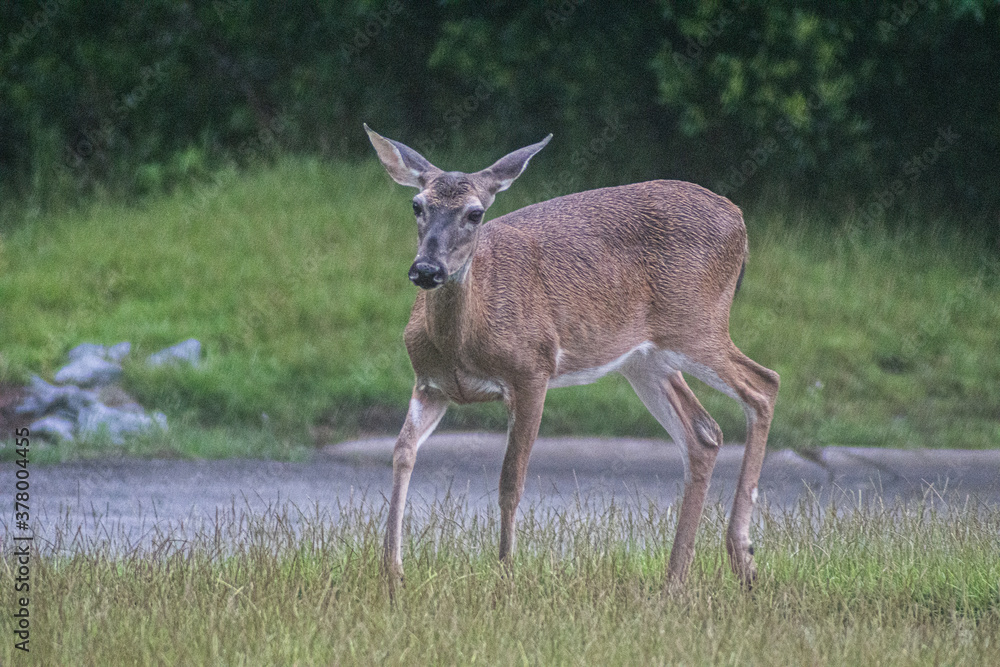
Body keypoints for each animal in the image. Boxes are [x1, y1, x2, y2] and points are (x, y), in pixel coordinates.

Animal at [363, 123, 779, 592]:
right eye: (417, 205)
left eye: (475, 214)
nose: (427, 270)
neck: (462, 344)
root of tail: (739, 218)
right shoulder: (429, 384)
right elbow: (402, 452)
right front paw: (392, 572)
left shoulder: (533, 370)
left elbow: (511, 479)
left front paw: (505, 573)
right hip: (645, 357)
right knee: (704, 432)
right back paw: (675, 579)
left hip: (696, 322)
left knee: (764, 384)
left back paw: (742, 558)